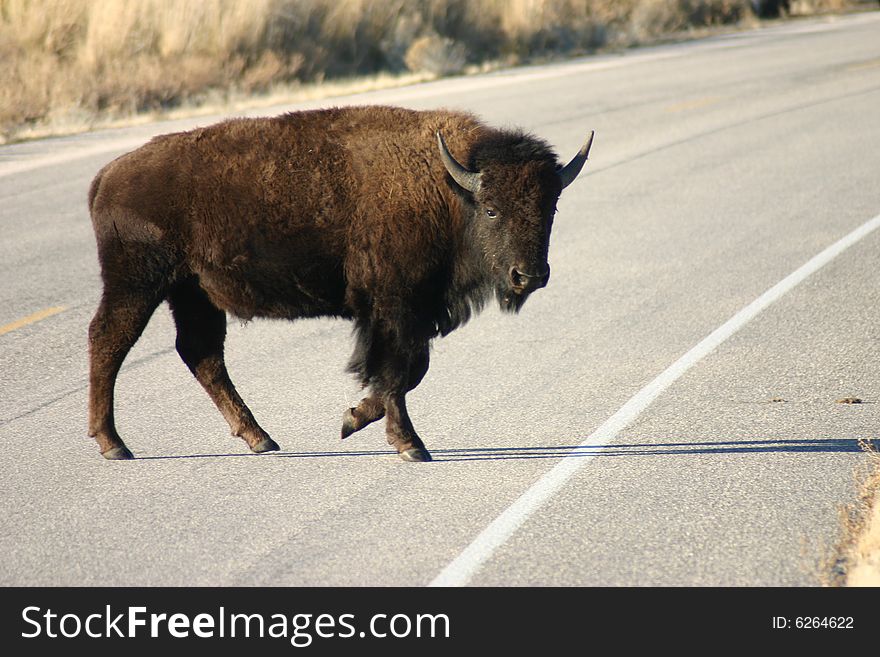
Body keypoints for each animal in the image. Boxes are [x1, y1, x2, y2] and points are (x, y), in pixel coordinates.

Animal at [87, 105, 592, 458]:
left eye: (550, 208)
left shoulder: (411, 311)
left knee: (202, 354)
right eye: (491, 210)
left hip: (192, 292)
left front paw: (354, 419)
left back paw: (260, 438)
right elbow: (399, 371)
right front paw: (408, 445)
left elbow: (407, 373)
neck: (446, 189)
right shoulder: (394, 309)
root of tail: (106, 175)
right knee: (110, 340)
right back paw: (114, 444)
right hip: (138, 283)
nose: (530, 275)